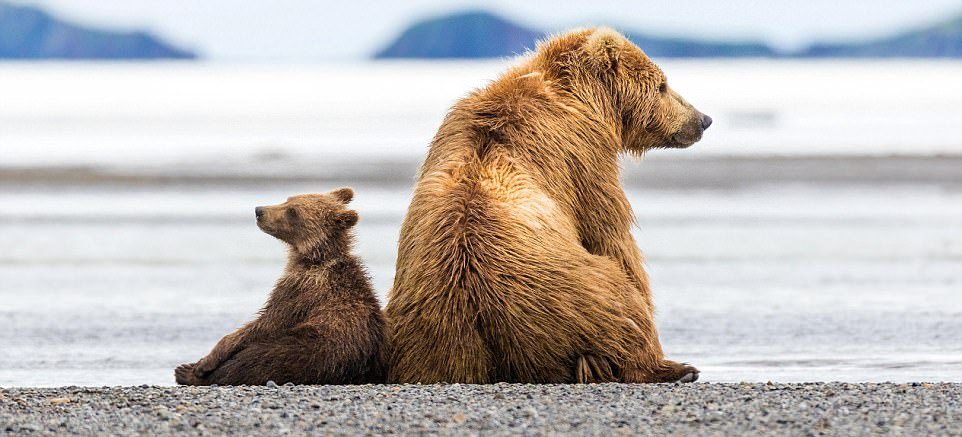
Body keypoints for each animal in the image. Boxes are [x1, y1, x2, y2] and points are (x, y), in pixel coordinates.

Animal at [386, 28, 708, 382]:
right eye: (662, 84)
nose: (703, 119)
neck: (586, 100)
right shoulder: (582, 156)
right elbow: (611, 236)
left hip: (433, 336)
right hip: (573, 294)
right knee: (622, 302)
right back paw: (673, 367)